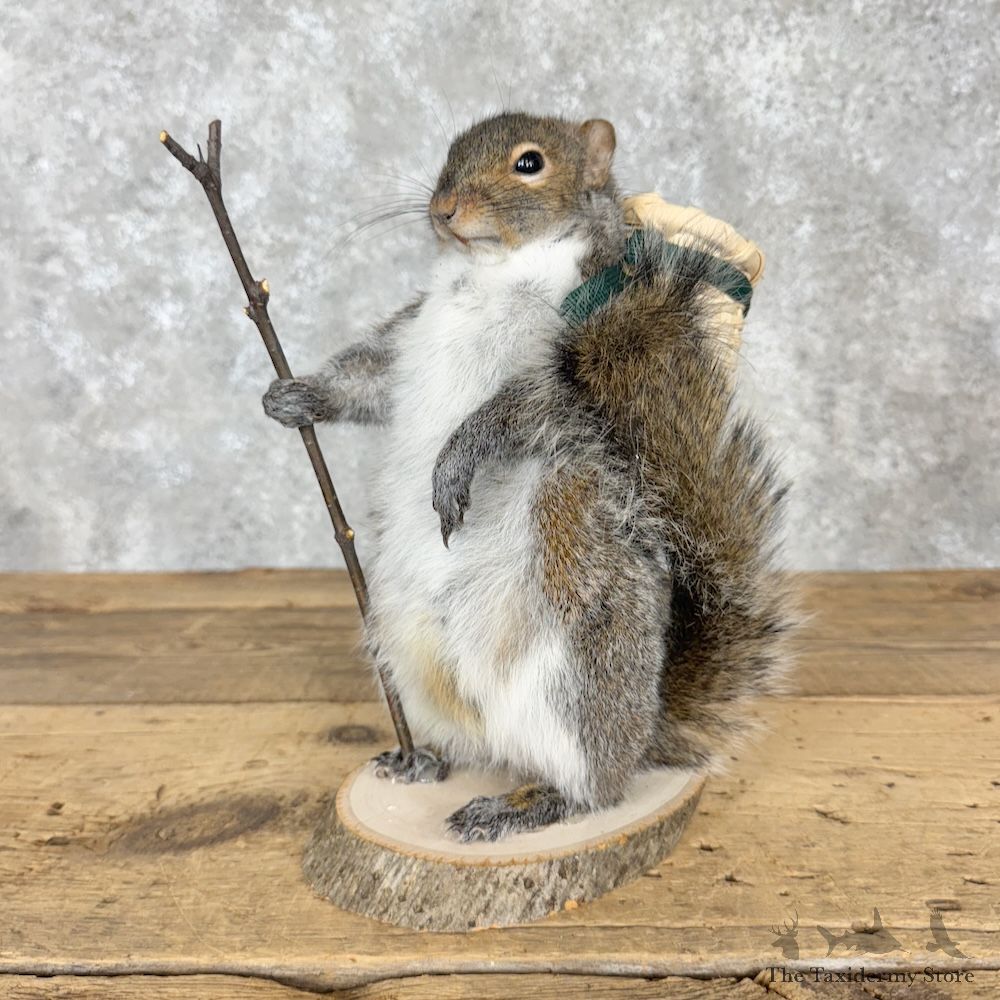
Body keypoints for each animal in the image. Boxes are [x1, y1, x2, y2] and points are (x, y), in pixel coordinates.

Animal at [263, 112, 796, 842]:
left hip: (572, 674)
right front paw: (299, 396)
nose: (443, 209)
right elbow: (367, 380)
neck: (490, 271)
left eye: (529, 164)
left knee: (590, 787)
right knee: (478, 744)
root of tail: (644, 739)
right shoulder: (407, 337)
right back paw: (422, 760)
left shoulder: (569, 367)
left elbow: (520, 411)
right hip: (404, 651)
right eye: (449, 153)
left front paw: (456, 459)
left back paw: (528, 807)